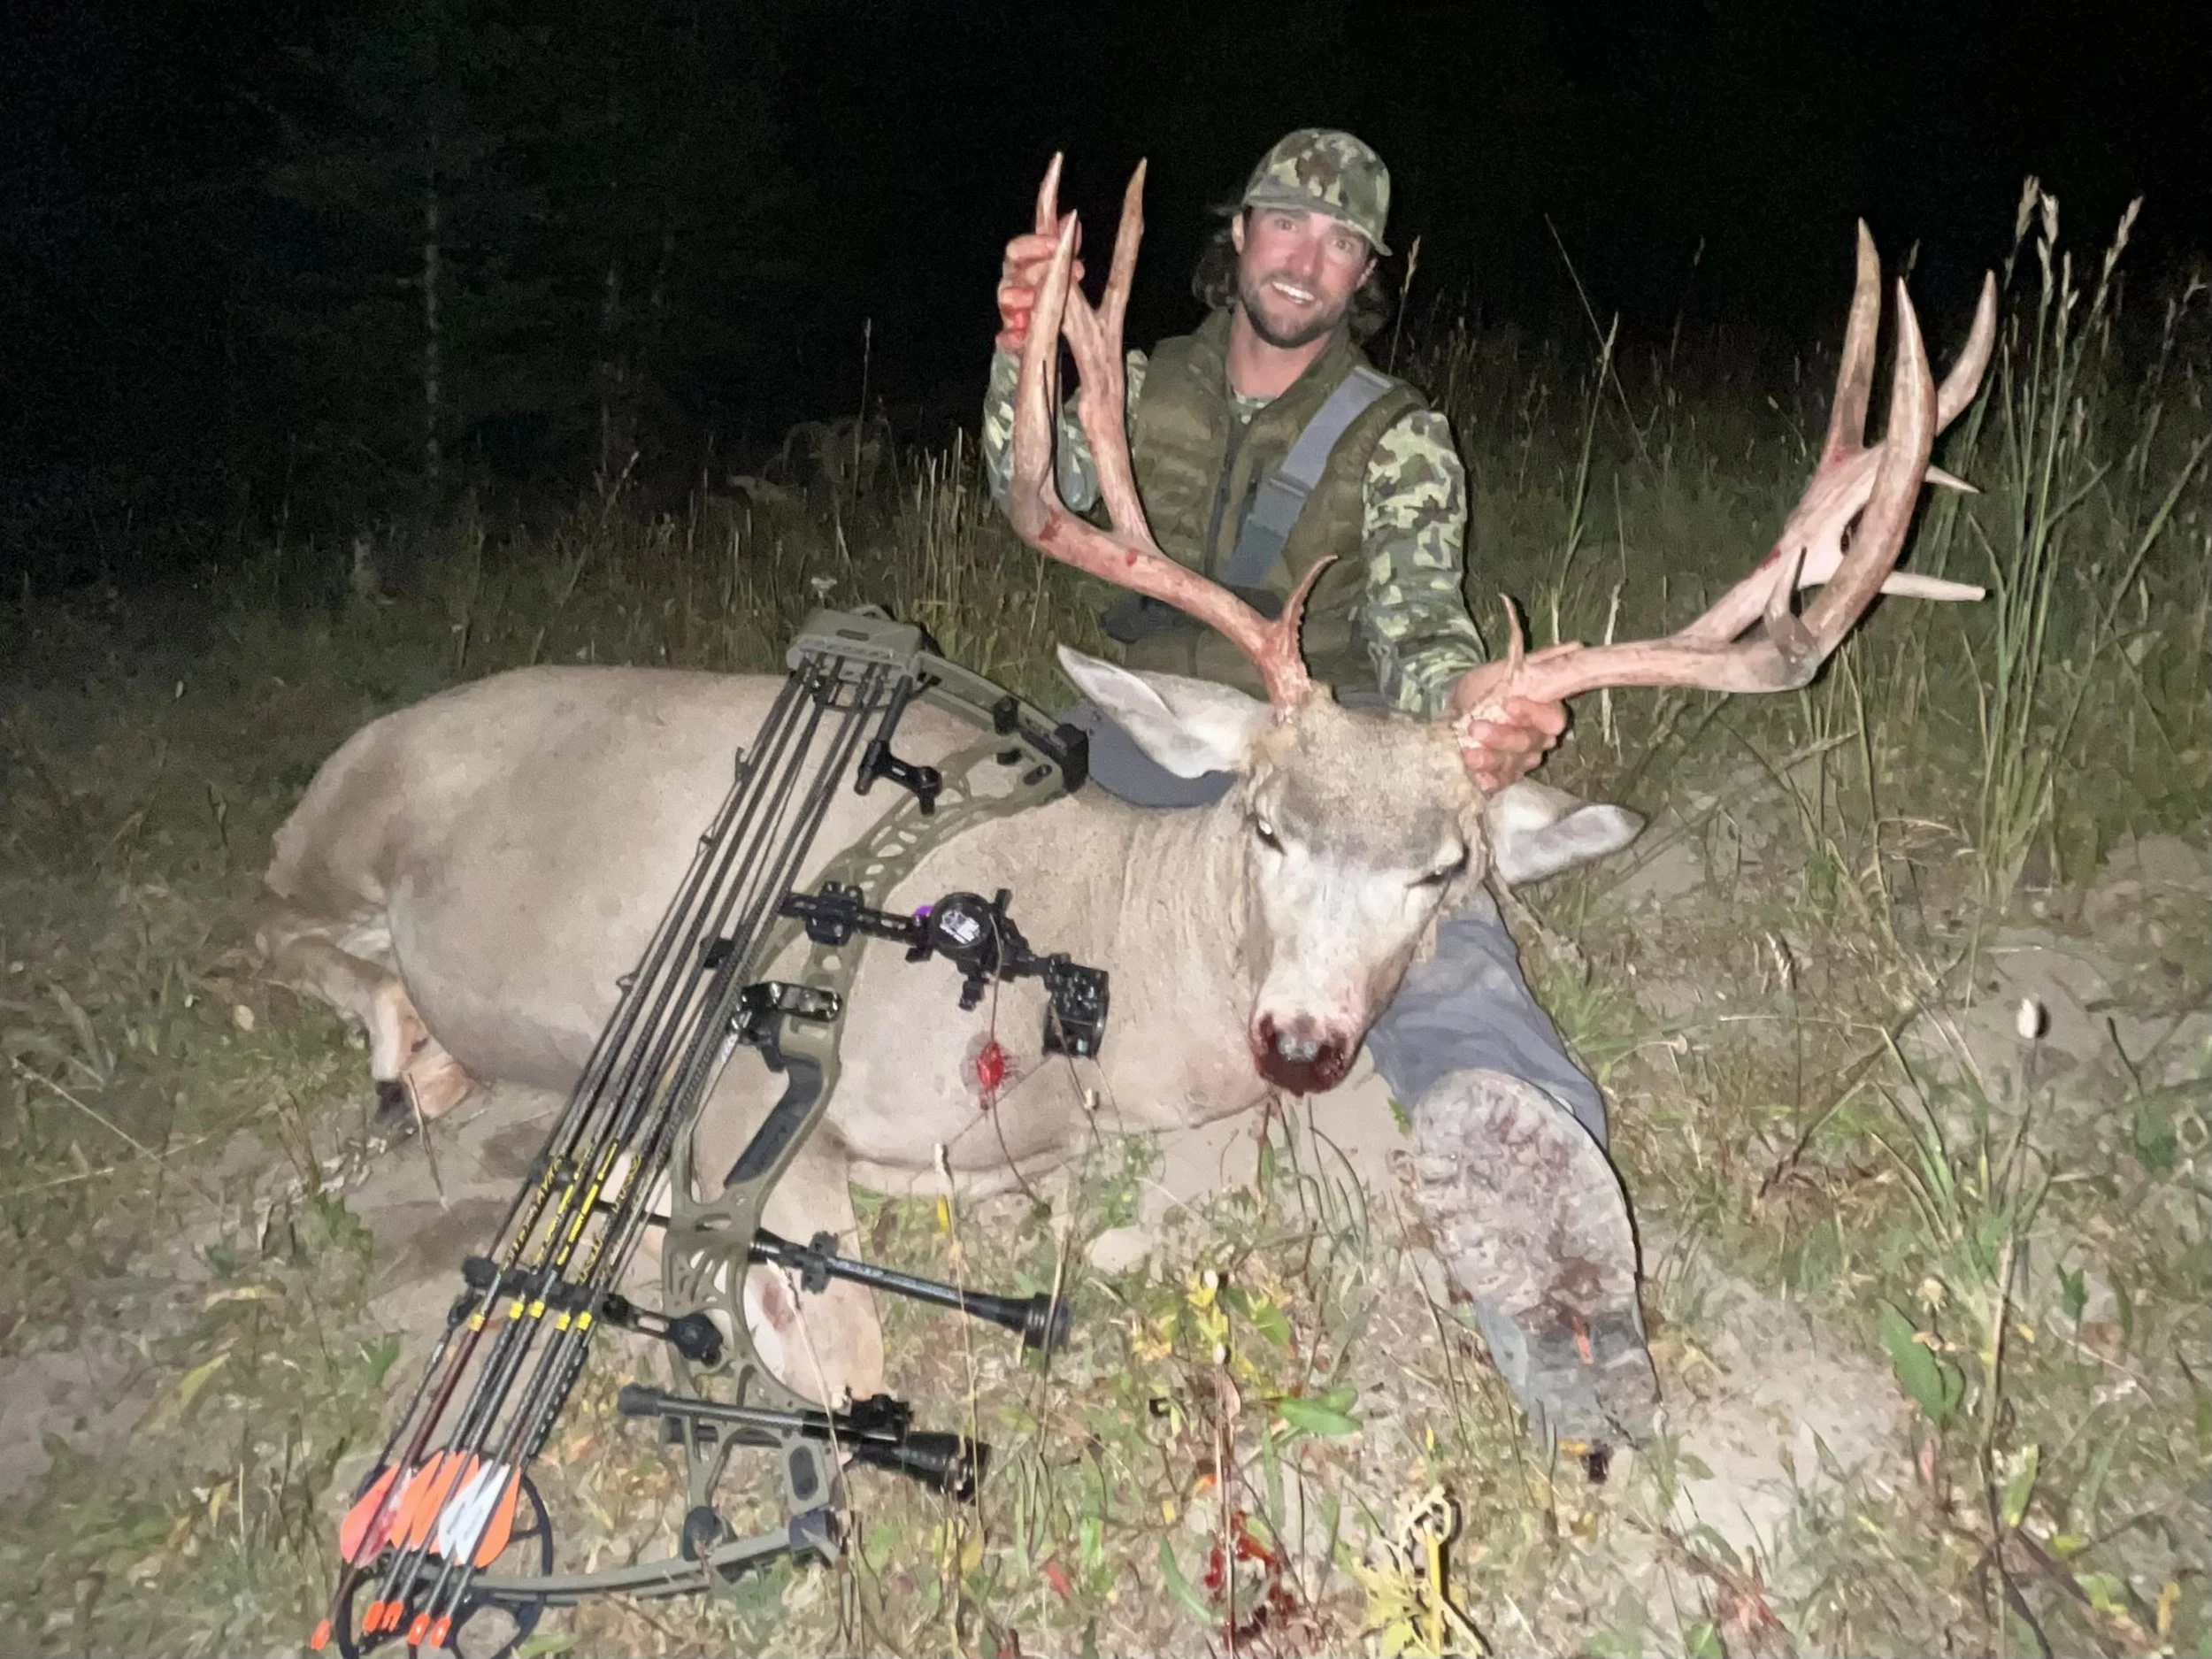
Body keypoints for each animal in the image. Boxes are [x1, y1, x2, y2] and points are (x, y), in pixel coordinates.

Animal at [258, 158, 1994, 1435]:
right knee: (282, 937)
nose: (1301, 1042)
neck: (1071, 974)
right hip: (336, 839)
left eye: (1445, 871)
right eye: (1268, 825)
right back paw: (414, 1064)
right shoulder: (753, 1086)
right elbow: (835, 1333)